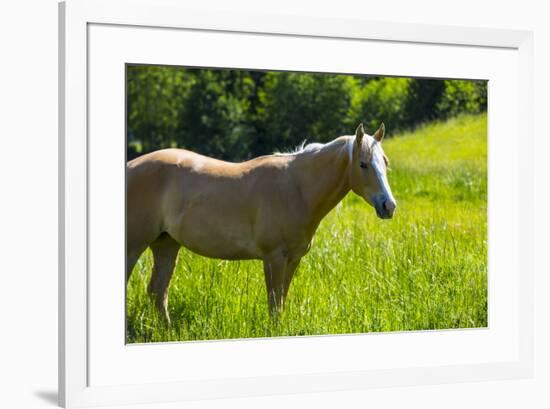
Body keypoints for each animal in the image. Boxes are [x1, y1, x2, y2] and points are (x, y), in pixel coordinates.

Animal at [128, 121, 398, 322]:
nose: (389, 206)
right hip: (134, 246)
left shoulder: (293, 260)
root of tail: (130, 166)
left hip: (166, 244)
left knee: (157, 293)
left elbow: (281, 302)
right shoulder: (274, 259)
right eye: (363, 164)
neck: (296, 189)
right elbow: (274, 306)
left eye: (385, 162)